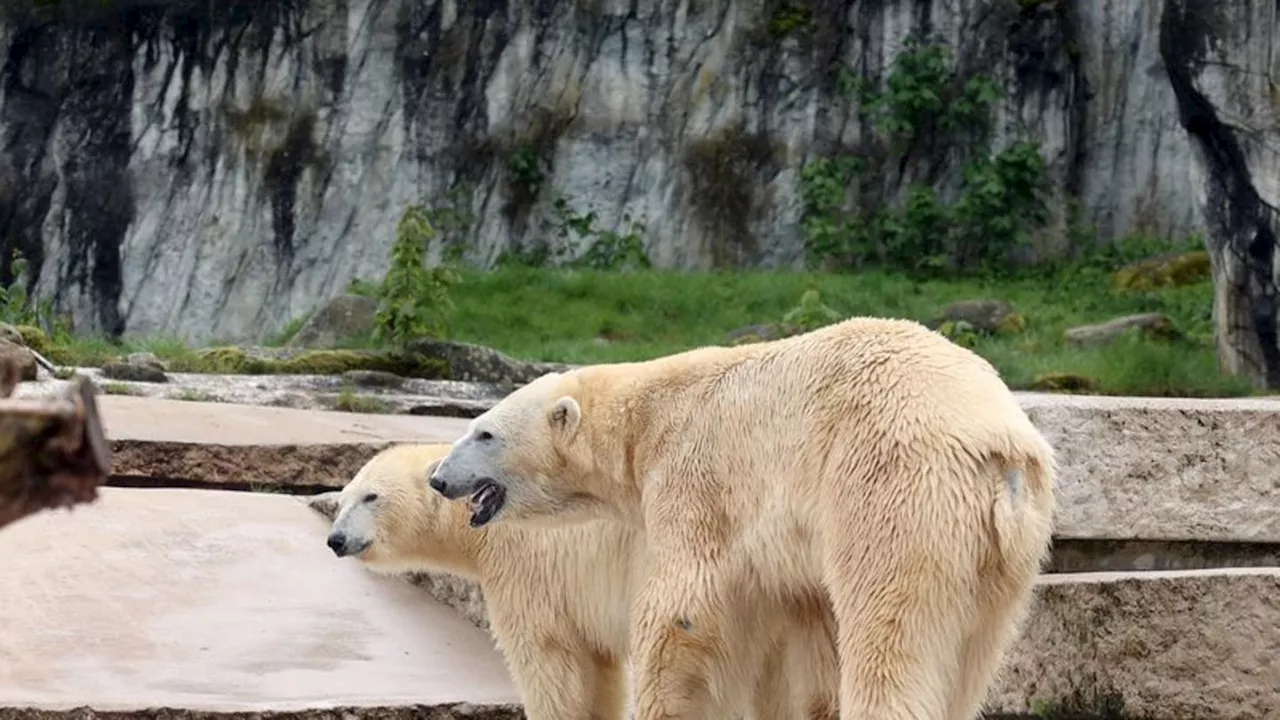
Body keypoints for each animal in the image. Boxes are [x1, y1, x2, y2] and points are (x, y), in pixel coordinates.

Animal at [312, 440, 839, 717]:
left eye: (372, 497)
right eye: (345, 495)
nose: (335, 540)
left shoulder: (530, 567)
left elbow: (549, 659)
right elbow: (601, 668)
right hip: (804, 604)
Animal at [424, 315, 1054, 717]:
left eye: (484, 432)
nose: (437, 477)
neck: (644, 416)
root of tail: (998, 450)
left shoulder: (693, 473)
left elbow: (682, 609)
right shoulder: (794, 550)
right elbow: (808, 635)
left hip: (893, 492)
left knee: (892, 629)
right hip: (1008, 551)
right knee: (973, 652)